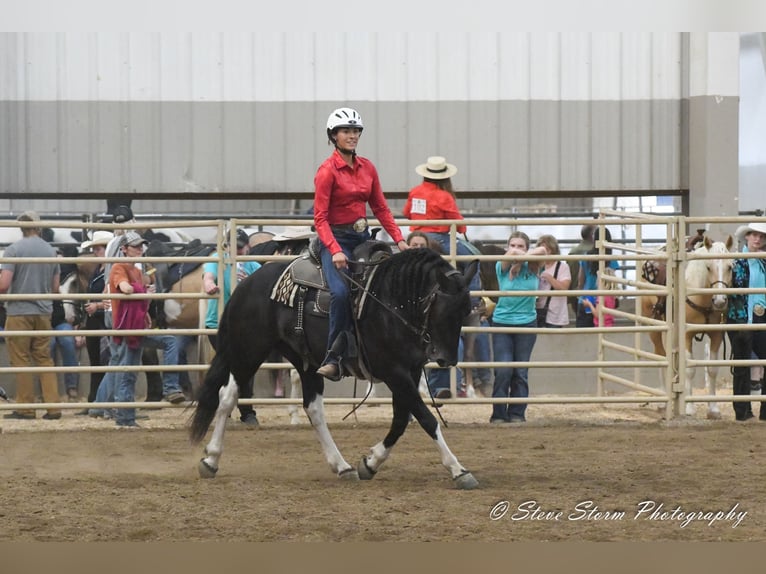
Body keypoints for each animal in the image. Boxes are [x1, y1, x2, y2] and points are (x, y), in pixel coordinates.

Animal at [190, 246, 480, 490]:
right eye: (443, 308)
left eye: (466, 309)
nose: (447, 359)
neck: (391, 302)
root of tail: (247, 283)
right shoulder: (394, 372)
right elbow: (426, 418)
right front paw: (459, 469)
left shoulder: (410, 371)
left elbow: (401, 420)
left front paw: (370, 462)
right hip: (248, 352)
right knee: (227, 396)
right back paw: (210, 460)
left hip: (304, 362)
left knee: (313, 408)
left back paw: (341, 466)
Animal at [640, 236, 736, 420]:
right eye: (708, 267)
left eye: (730, 266)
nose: (720, 301)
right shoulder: (686, 335)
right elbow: (689, 370)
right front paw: (689, 408)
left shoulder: (716, 334)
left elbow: (712, 369)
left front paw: (713, 409)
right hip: (654, 326)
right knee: (661, 356)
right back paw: (664, 403)